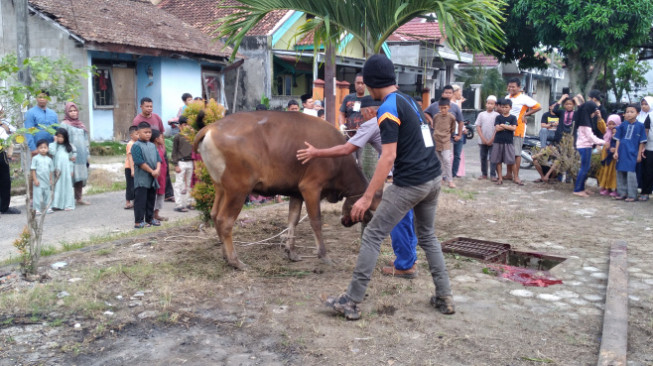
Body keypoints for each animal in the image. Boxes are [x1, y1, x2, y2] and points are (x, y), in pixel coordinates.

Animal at [194, 111, 376, 268]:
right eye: (368, 210)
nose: (362, 223)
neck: (339, 162)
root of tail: (211, 127)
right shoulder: (311, 187)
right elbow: (316, 221)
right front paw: (323, 255)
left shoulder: (296, 193)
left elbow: (292, 221)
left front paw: (291, 251)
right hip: (238, 190)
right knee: (225, 220)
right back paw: (235, 261)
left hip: (221, 188)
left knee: (214, 215)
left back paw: (225, 256)